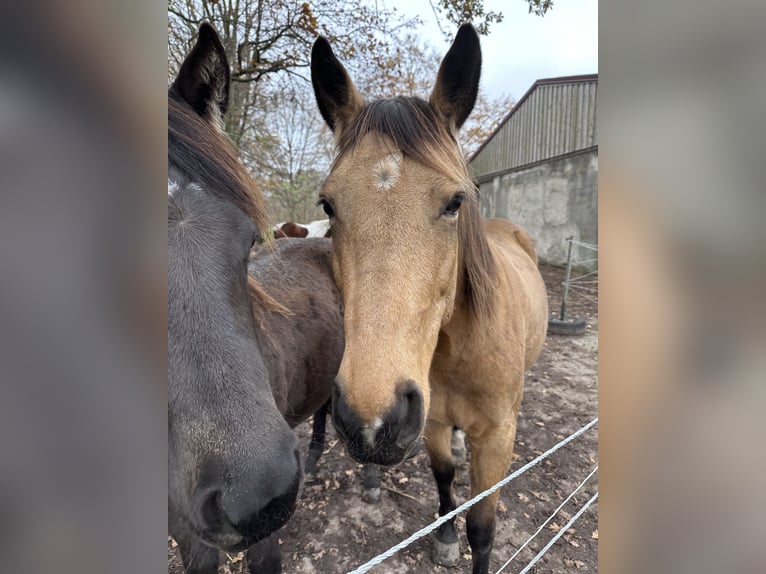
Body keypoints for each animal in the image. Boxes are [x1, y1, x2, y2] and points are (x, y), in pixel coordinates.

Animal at [310, 24, 548, 574]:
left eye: (455, 202)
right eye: (328, 205)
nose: (372, 421)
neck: (462, 349)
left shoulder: (497, 440)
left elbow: (483, 528)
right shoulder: (434, 421)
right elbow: (444, 479)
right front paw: (442, 536)